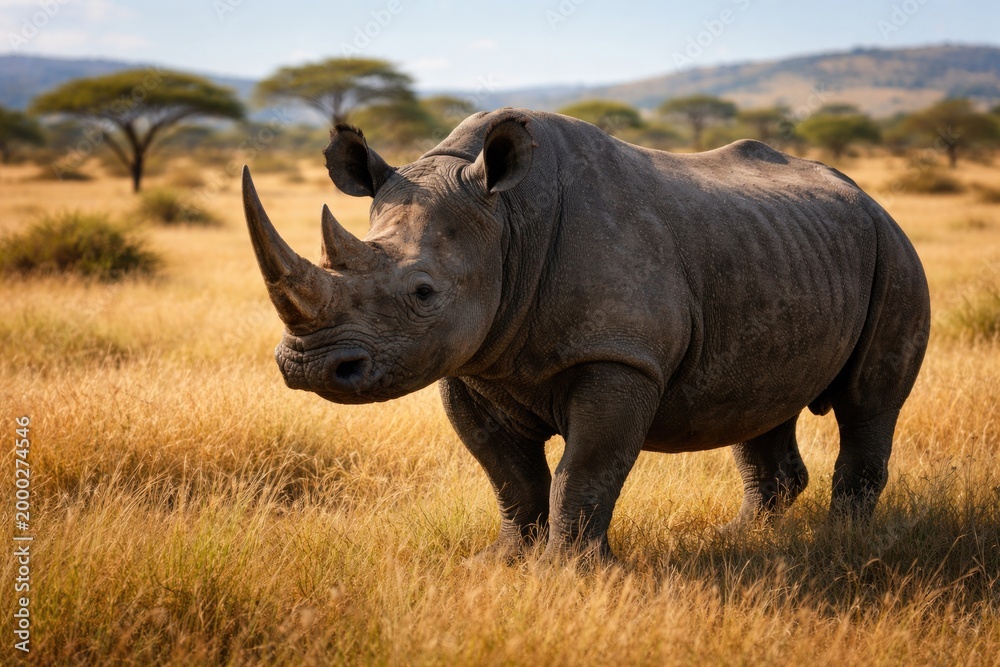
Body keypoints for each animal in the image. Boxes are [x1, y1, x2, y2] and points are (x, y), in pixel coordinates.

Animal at [242, 108, 930, 562]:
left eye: (423, 293)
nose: (308, 366)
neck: (506, 221)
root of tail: (868, 196)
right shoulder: (471, 362)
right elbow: (509, 475)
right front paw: (502, 563)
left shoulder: (621, 357)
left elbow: (587, 470)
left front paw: (566, 573)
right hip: (782, 251)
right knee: (760, 403)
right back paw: (740, 540)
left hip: (894, 253)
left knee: (868, 405)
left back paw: (844, 543)